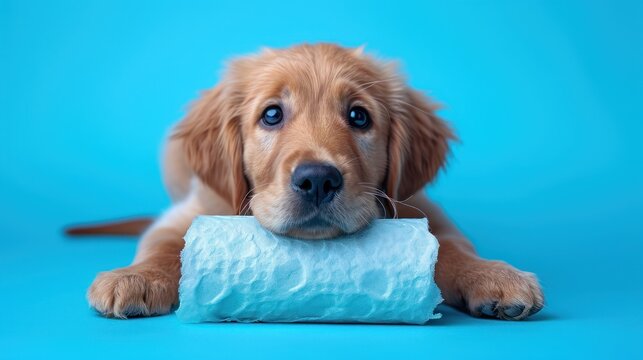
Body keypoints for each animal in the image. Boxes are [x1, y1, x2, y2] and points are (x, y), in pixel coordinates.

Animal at [80, 43, 544, 320]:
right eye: (271, 114)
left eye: (359, 116)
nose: (318, 180)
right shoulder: (193, 209)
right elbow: (164, 244)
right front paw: (137, 278)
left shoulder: (421, 207)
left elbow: (451, 247)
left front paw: (493, 276)